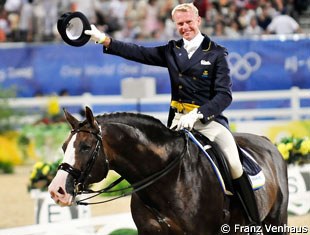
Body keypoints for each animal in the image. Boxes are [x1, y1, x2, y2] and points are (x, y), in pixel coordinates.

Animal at [48, 107, 288, 234]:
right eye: (64, 147)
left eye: (86, 147)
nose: (57, 190)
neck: (170, 179)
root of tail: (266, 142)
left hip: (276, 221)